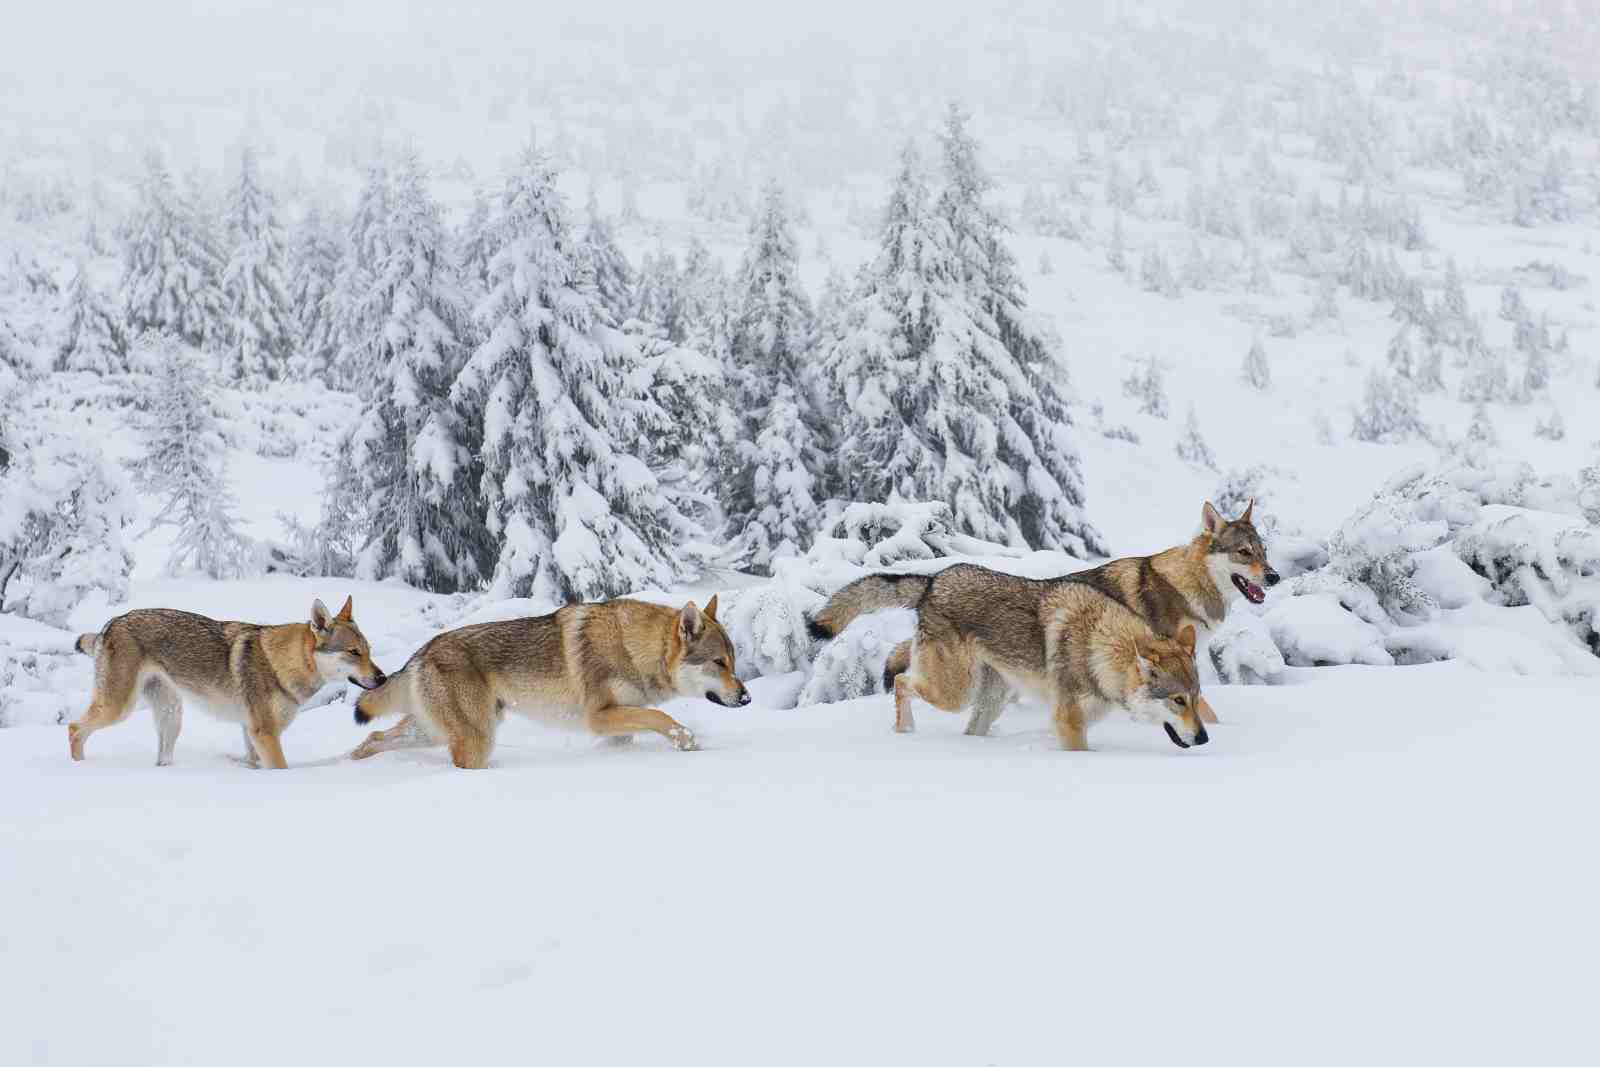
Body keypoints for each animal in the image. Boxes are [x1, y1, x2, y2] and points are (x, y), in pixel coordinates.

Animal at [69, 596, 386, 769]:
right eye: (353, 652)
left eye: (368, 651)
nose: (382, 678)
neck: (281, 663)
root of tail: (110, 624)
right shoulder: (265, 734)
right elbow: (281, 768)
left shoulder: (251, 733)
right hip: (118, 708)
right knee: (74, 728)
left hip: (171, 717)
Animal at [348, 596, 750, 769]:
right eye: (718, 663)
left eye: (734, 662)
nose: (746, 698)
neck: (633, 647)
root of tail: (421, 652)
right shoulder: (599, 716)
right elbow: (662, 718)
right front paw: (688, 742)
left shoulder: (617, 723)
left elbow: (643, 725)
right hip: (477, 739)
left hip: (433, 731)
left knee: (374, 737)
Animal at [807, 564, 1208, 750]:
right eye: (1177, 700)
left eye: (1196, 698)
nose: (1204, 739)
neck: (1101, 646)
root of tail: (934, 580)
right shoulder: (1069, 722)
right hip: (955, 693)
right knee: (903, 681)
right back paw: (905, 731)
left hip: (990, 701)